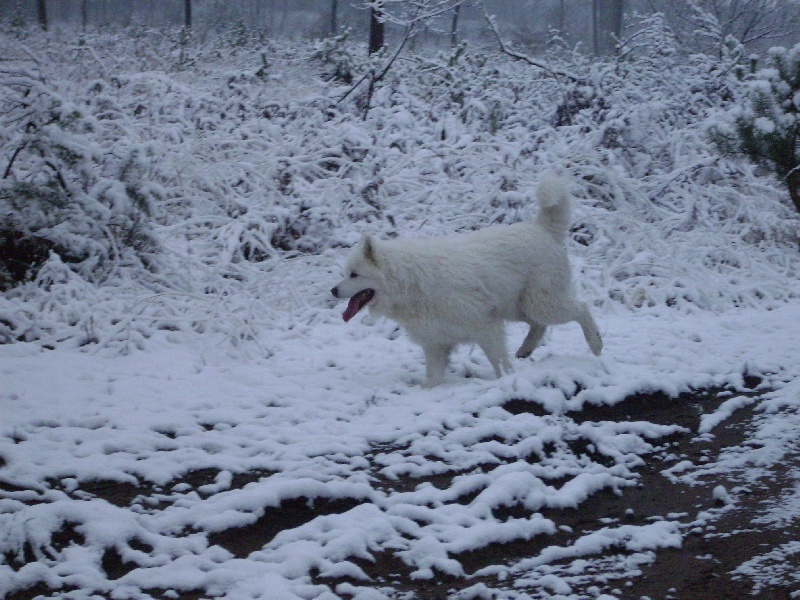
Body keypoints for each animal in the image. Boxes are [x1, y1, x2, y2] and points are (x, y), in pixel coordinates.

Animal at [330, 176, 600, 386]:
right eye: (346, 273)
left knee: (581, 309)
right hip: (520, 306)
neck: (410, 282)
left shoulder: (486, 326)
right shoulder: (436, 342)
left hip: (541, 303)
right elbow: (434, 379)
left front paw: (506, 381)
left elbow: (499, 362)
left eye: (354, 274)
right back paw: (525, 349)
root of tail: (543, 230)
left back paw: (596, 344)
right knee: (539, 326)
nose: (333, 290)